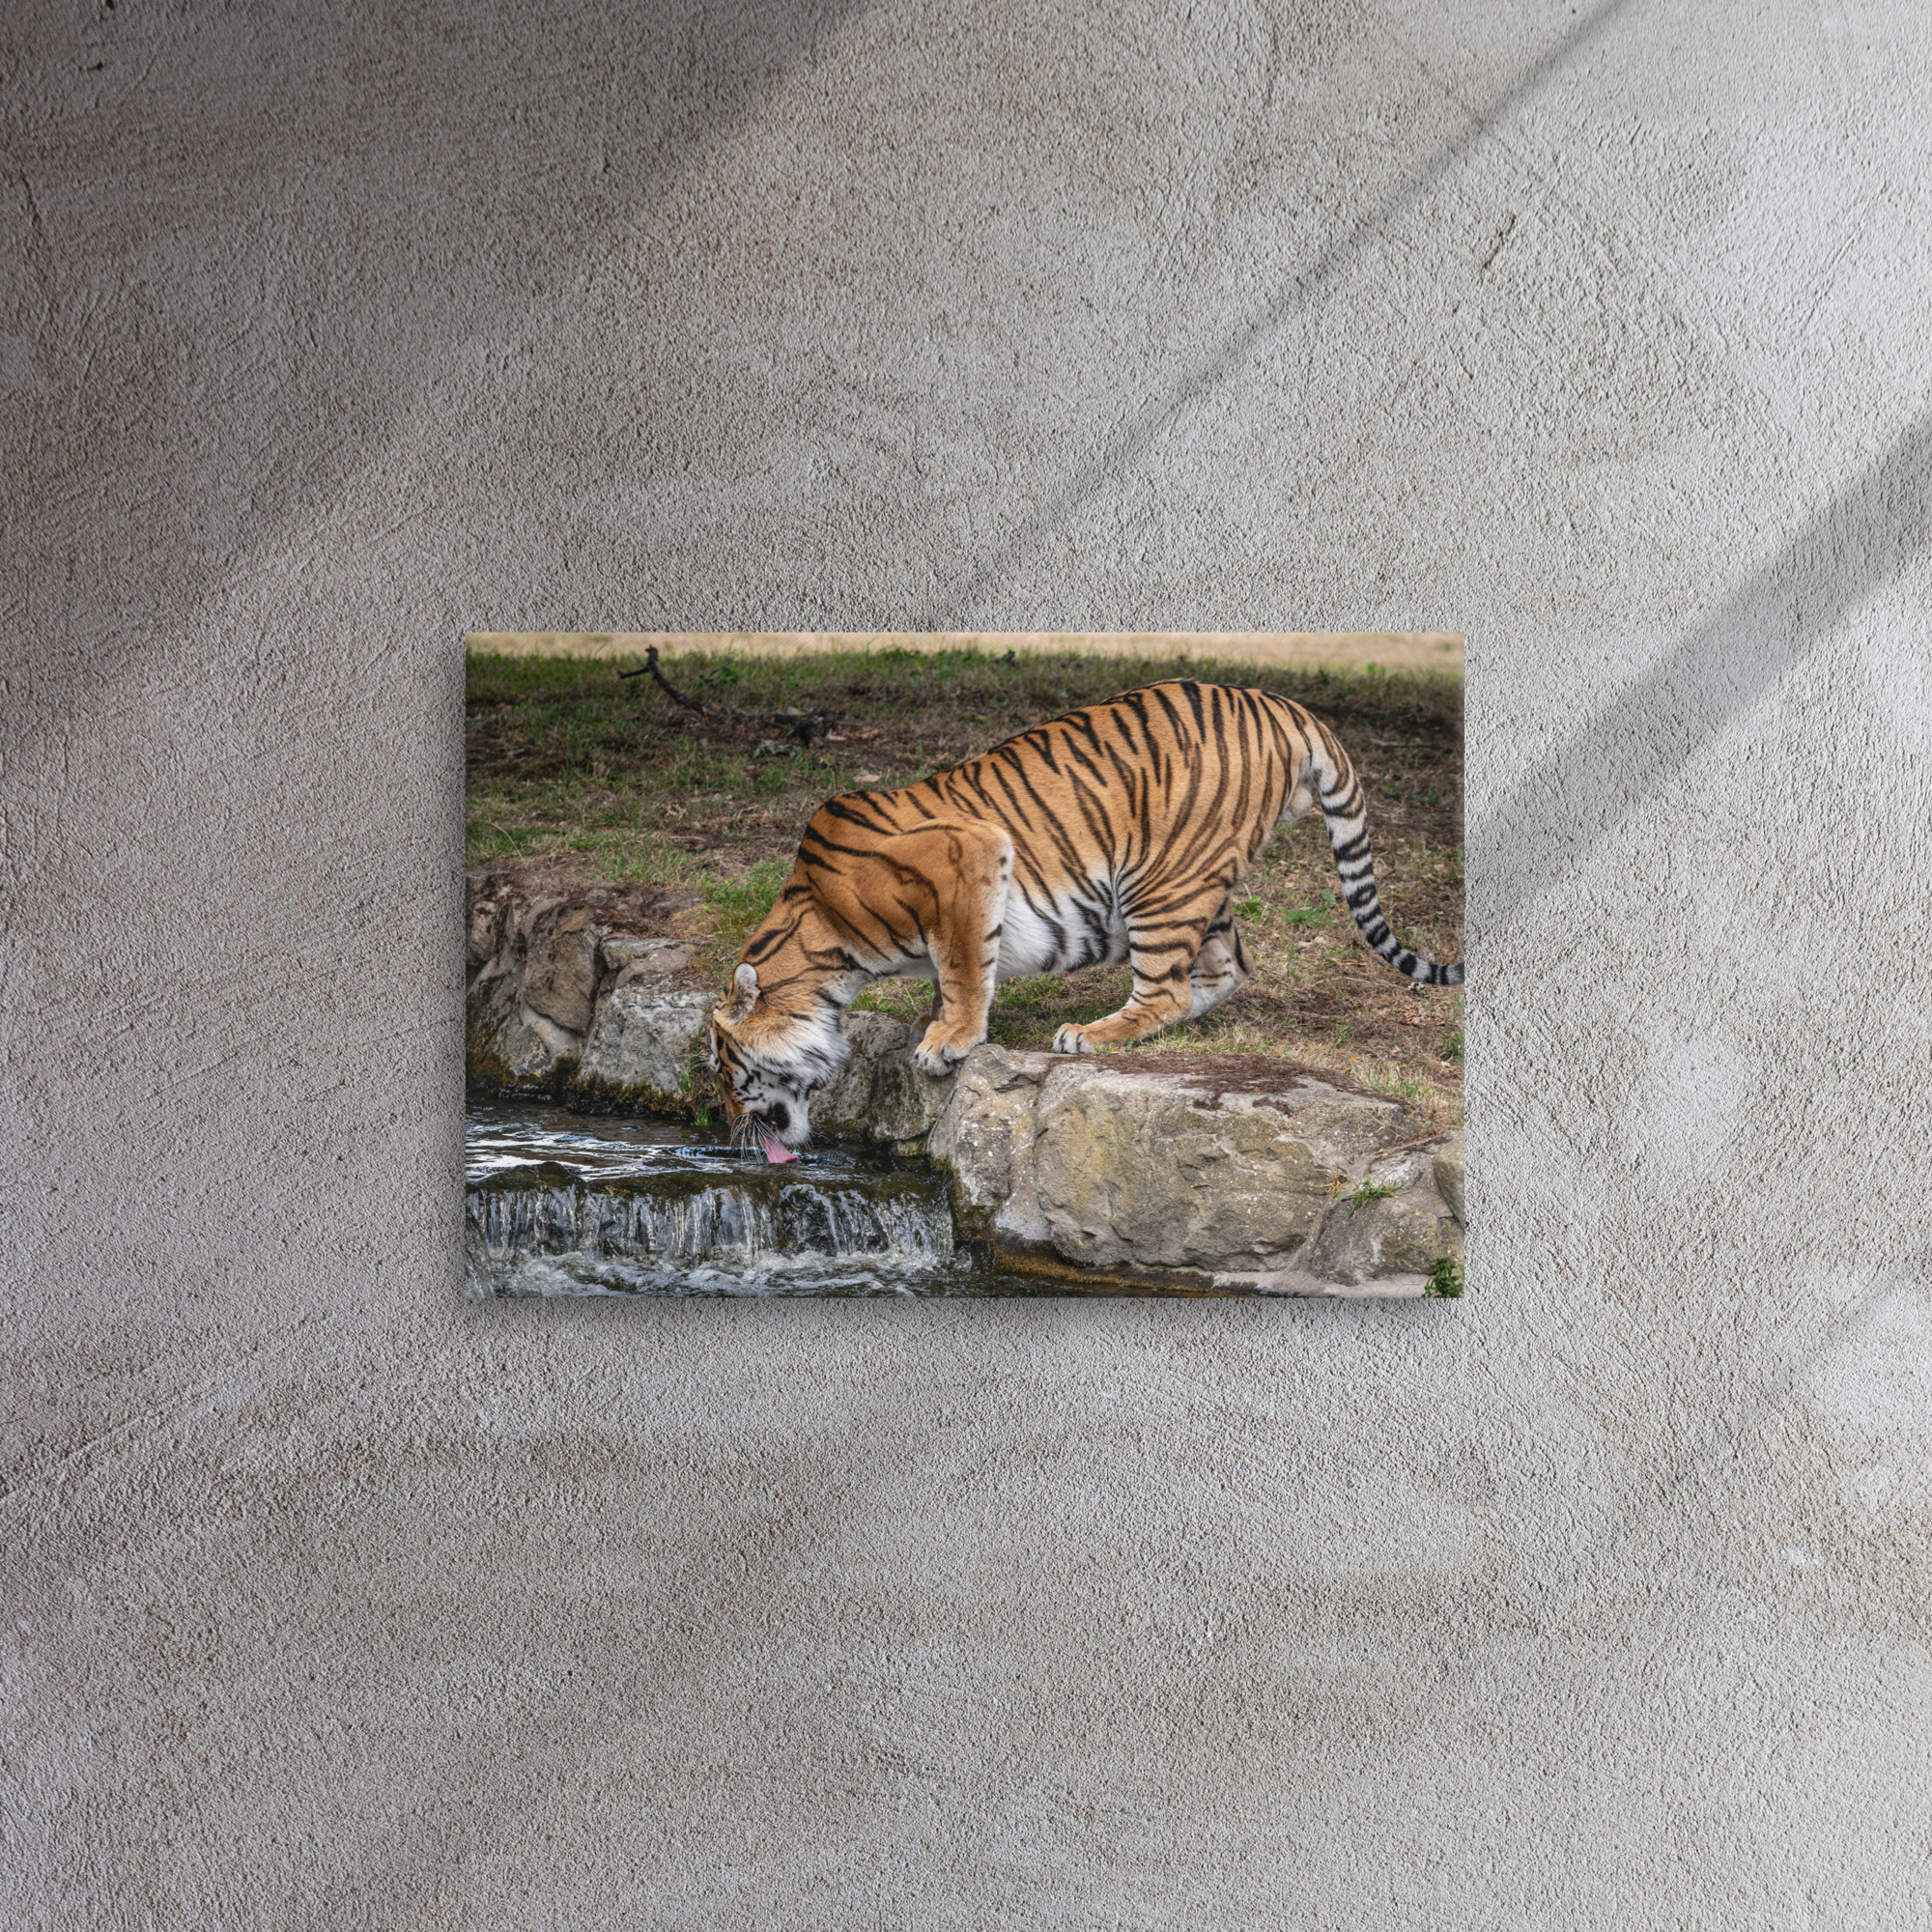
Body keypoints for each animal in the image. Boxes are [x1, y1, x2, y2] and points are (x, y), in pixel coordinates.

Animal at [708, 679, 1461, 1152]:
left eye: (724, 1068)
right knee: (1224, 969)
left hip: (1159, 881)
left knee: (1166, 990)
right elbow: (952, 972)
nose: (729, 1130)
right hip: (1197, 883)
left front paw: (948, 1040)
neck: (825, 945)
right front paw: (934, 1023)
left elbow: (963, 966)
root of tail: (1280, 704)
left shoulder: (968, 856)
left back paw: (1091, 1034)